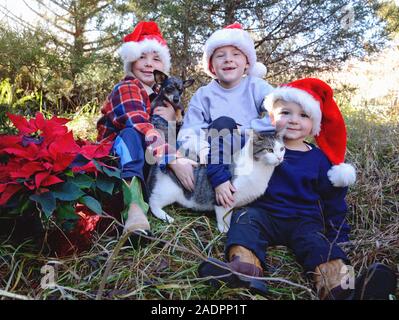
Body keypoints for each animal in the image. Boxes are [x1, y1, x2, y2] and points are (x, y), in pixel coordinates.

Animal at [145, 130, 286, 232]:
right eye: (269, 150)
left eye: (282, 149)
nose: (279, 158)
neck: (261, 170)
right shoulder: (224, 199)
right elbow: (224, 217)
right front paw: (224, 229)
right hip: (168, 191)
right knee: (153, 202)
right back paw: (166, 217)